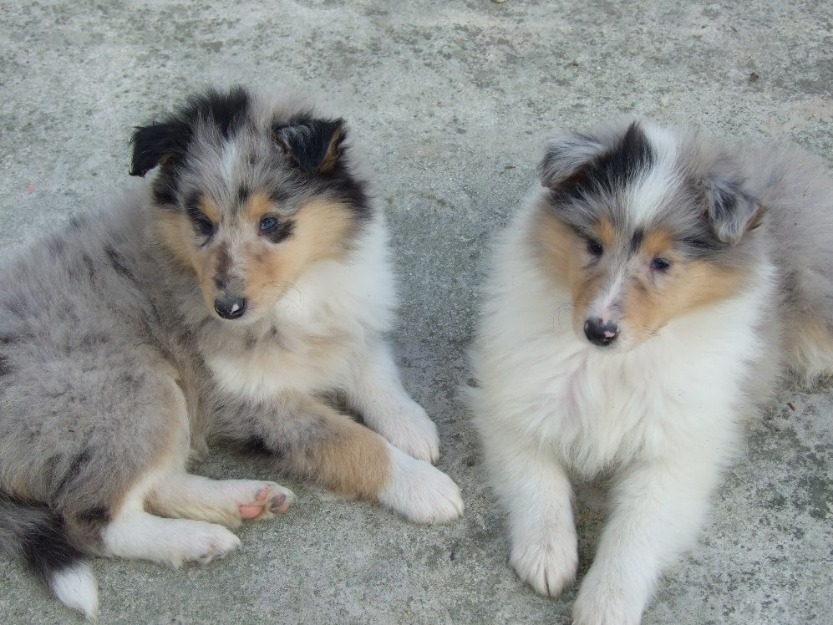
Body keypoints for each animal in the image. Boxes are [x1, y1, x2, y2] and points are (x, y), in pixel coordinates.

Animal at [0, 86, 462, 616]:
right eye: (201, 221)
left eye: (271, 223)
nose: (227, 308)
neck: (296, 294)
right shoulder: (250, 399)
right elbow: (349, 439)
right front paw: (423, 486)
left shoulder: (350, 314)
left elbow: (372, 368)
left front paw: (412, 427)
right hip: (127, 393)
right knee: (98, 521)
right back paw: (195, 539)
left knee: (156, 483)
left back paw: (244, 501)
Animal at [468, 120, 832, 624]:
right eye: (593, 244)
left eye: (662, 263)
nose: (598, 330)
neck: (612, 364)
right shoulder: (515, 405)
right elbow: (537, 482)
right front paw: (547, 555)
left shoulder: (674, 452)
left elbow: (636, 529)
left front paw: (606, 603)